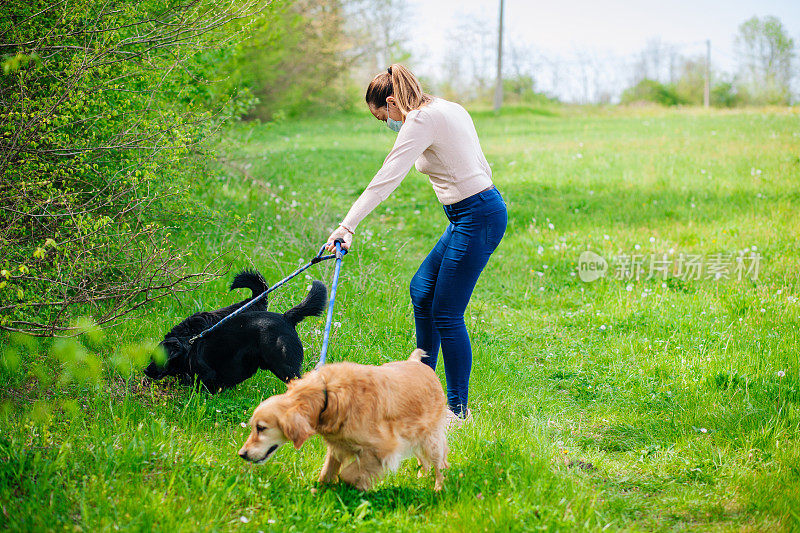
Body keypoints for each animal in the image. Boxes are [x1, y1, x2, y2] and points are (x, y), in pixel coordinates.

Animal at [145, 270, 326, 390]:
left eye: (158, 358)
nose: (146, 370)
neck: (189, 344)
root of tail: (286, 317)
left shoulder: (208, 375)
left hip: (284, 366)